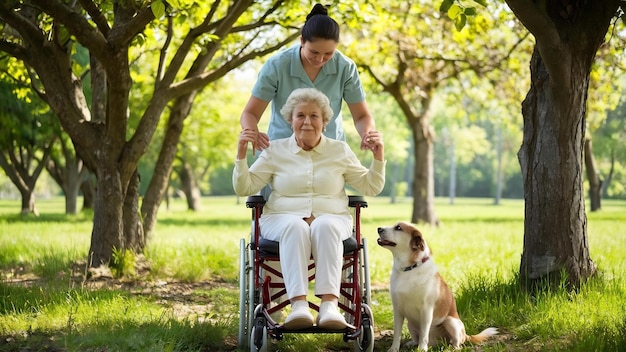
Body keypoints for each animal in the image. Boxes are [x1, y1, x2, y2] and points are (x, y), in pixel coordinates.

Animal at [376, 221, 498, 350]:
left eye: (398, 228)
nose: (379, 228)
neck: (409, 269)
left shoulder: (426, 309)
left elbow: (424, 334)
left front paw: (422, 349)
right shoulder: (397, 309)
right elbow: (397, 334)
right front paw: (393, 349)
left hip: (451, 322)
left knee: (456, 341)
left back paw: (452, 348)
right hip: (411, 323)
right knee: (416, 338)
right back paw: (412, 343)